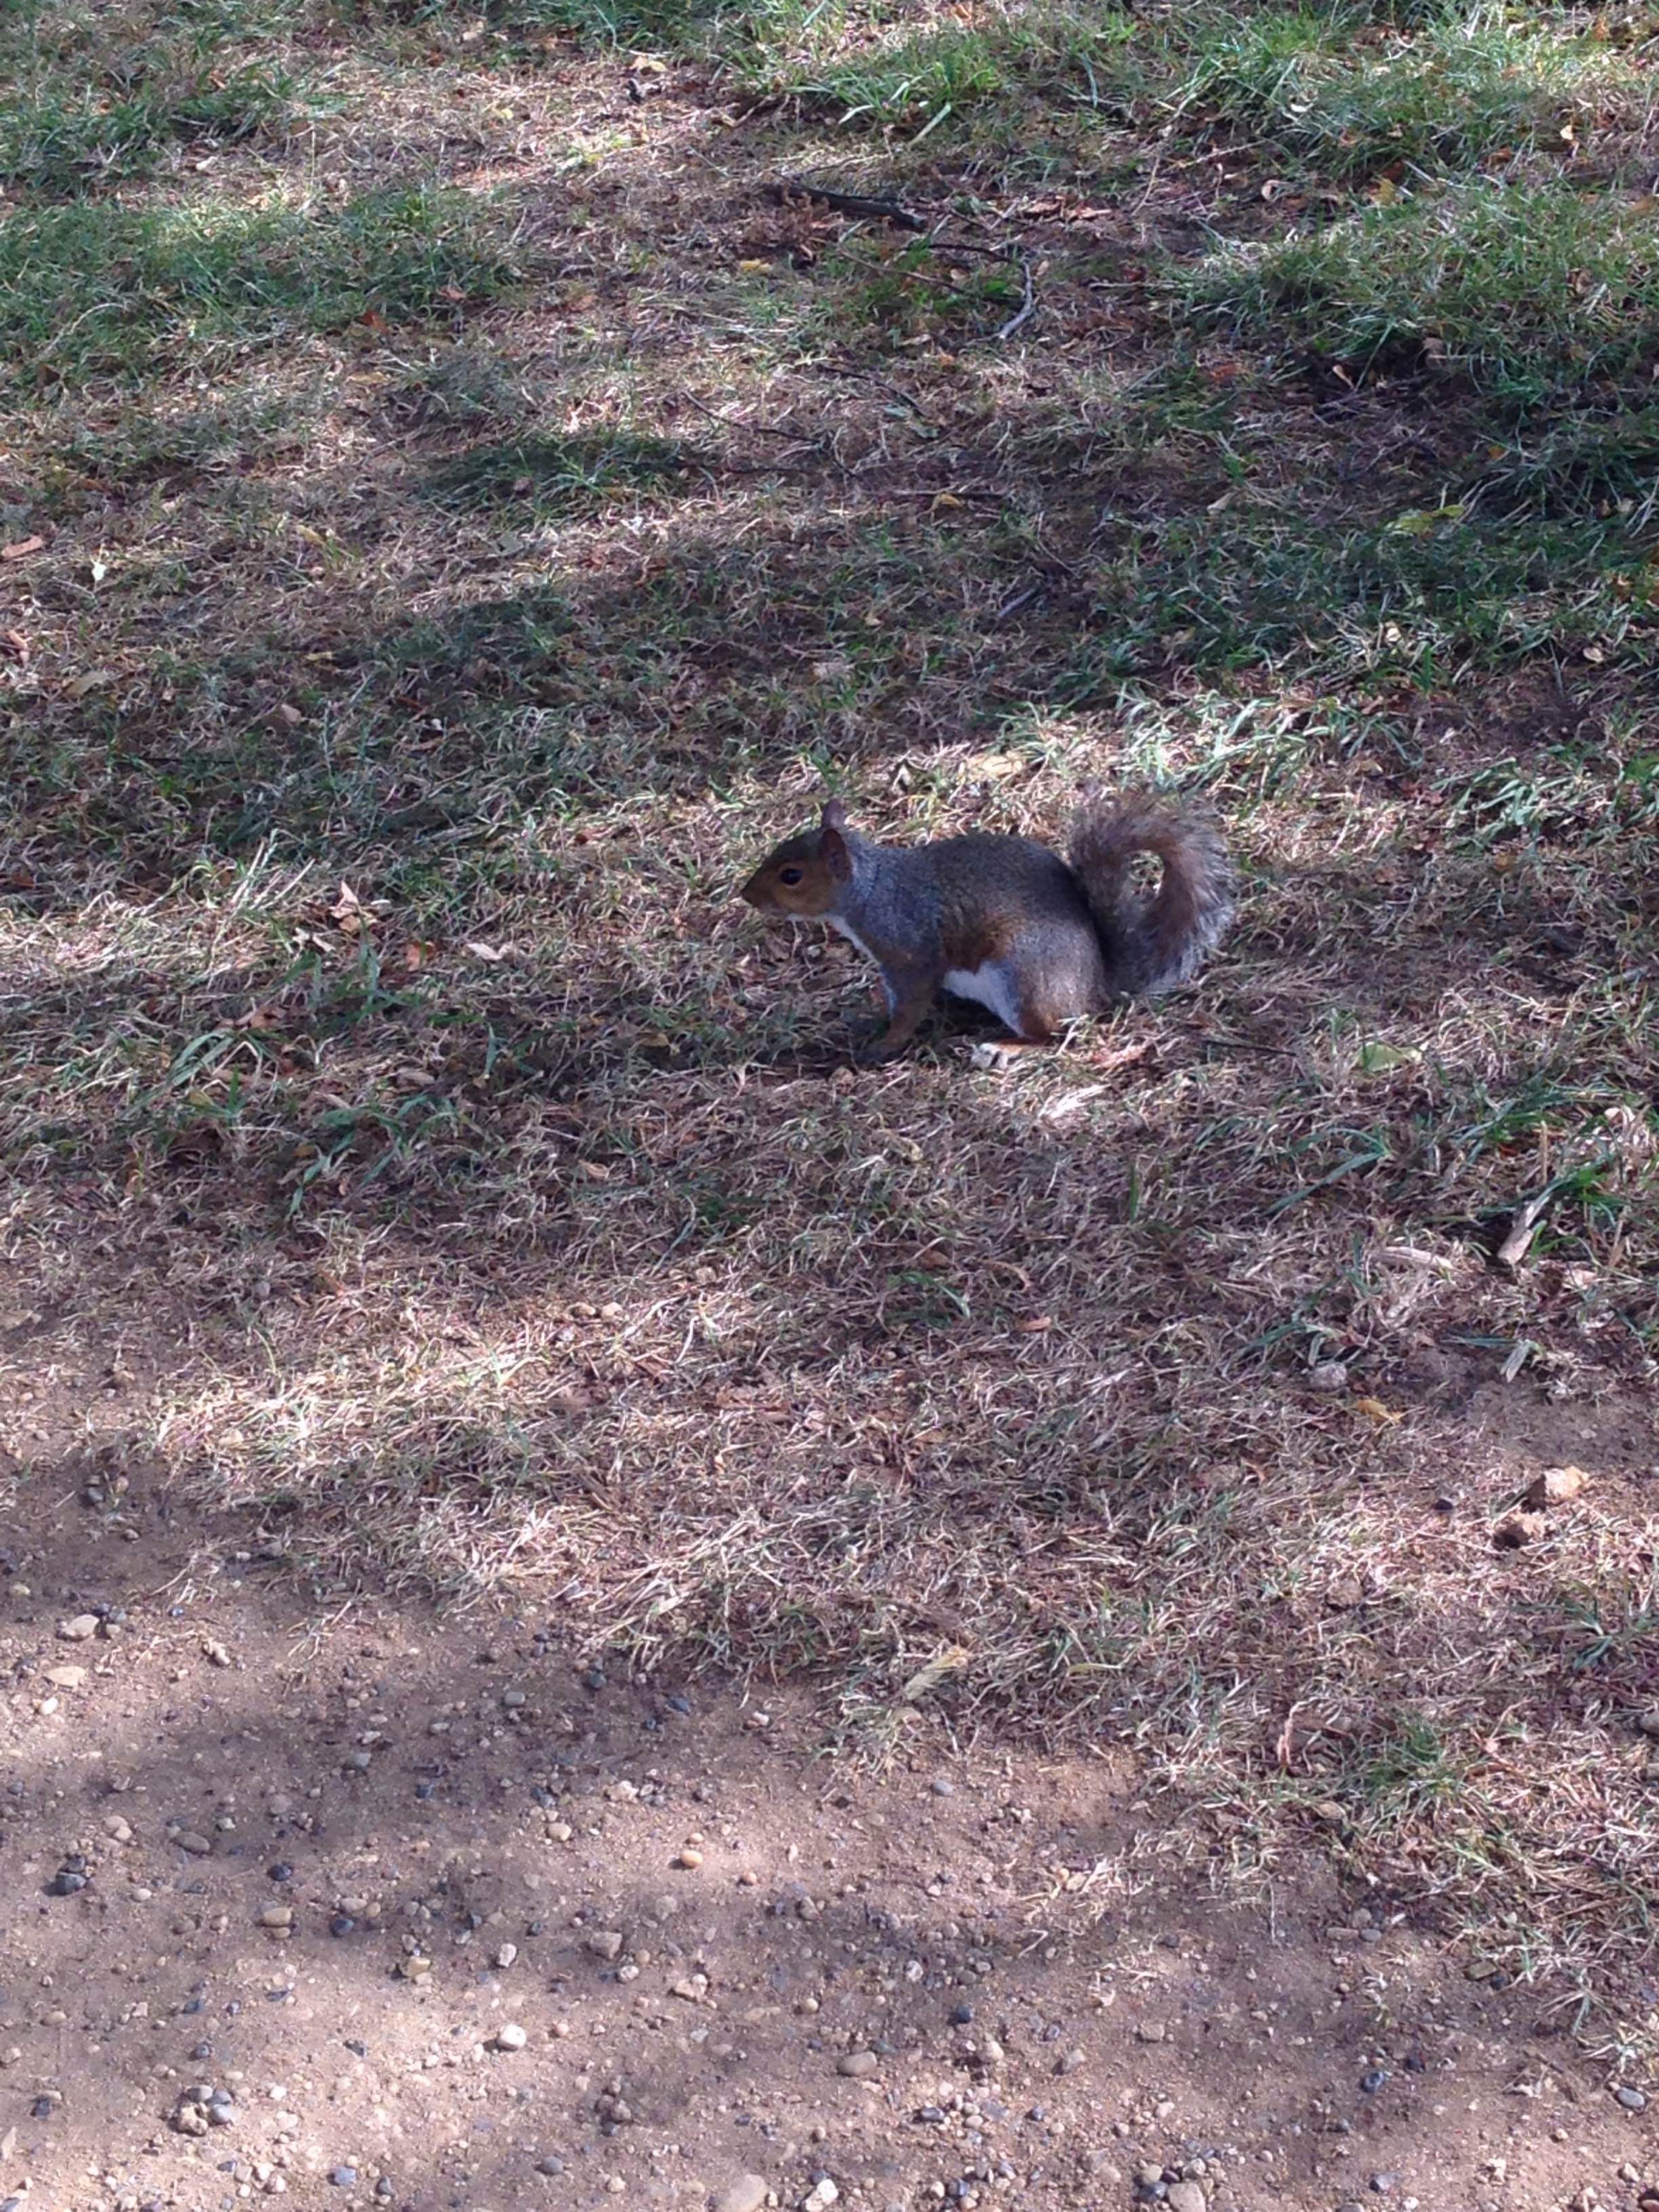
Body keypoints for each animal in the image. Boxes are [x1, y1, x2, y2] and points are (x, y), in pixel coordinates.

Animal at [739, 792, 1238, 1066]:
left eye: (791, 876)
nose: (746, 896)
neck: (873, 891)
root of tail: (1098, 984)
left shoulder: (911, 954)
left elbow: (910, 1007)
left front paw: (885, 1046)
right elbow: (894, 1004)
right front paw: (869, 1024)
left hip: (1022, 976)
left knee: (1055, 1035)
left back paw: (1004, 1048)